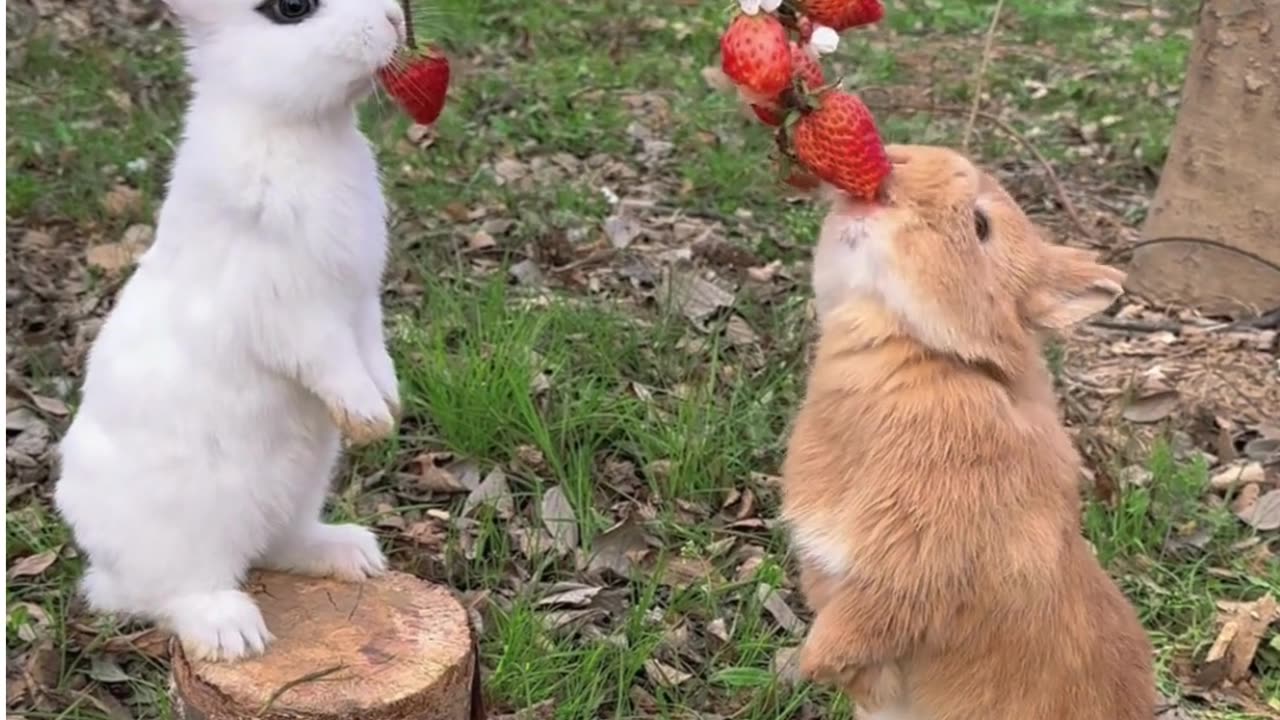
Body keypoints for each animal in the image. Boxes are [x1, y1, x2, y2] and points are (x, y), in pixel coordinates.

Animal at [57, 0, 407, 661]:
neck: (302, 129)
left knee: (278, 545)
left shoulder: (360, 302)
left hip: (300, 485)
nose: (397, 19)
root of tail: (101, 562)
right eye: (293, 10)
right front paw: (370, 419)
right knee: (168, 594)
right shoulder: (293, 313)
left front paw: (390, 403)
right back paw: (233, 631)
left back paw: (353, 553)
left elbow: (373, 352)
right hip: (187, 529)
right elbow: (332, 362)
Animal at [778, 142, 1162, 712]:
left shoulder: (916, 568)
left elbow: (868, 622)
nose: (895, 161)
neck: (937, 355)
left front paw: (813, 664)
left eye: (980, 225)